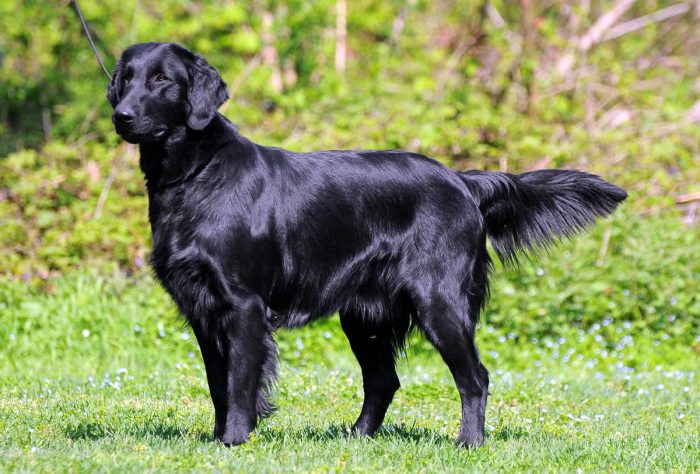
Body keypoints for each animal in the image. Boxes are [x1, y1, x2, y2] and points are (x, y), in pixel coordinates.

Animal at [108, 43, 624, 448]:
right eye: (126, 77)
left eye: (161, 79)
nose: (121, 115)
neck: (196, 175)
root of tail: (461, 181)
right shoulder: (202, 309)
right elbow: (219, 383)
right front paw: (218, 440)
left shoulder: (243, 305)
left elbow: (239, 384)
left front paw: (234, 441)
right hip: (364, 315)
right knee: (384, 381)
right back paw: (356, 438)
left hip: (438, 300)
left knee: (474, 377)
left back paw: (469, 442)